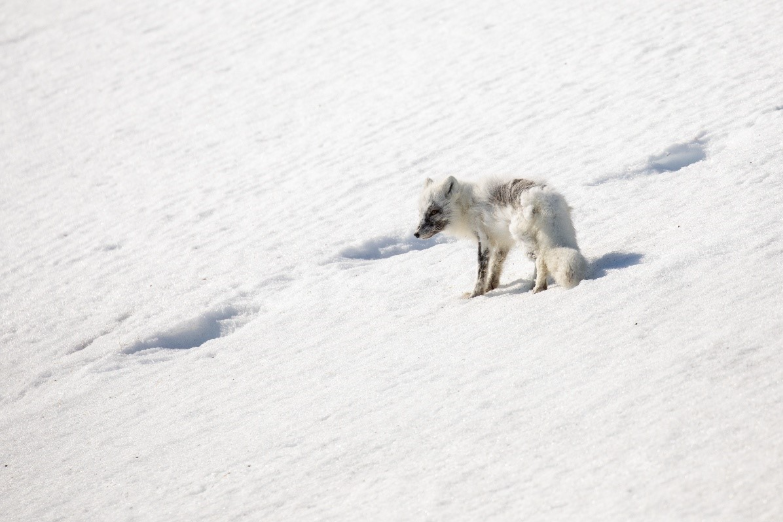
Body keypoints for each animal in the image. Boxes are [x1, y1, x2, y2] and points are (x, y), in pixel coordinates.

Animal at [413, 176, 588, 297]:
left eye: (434, 211)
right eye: (421, 212)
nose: (416, 234)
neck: (467, 206)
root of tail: (543, 199)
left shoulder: (483, 239)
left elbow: (481, 270)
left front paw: (476, 294)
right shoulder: (503, 242)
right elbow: (497, 265)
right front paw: (492, 286)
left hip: (523, 240)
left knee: (541, 260)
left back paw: (538, 288)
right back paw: (533, 285)